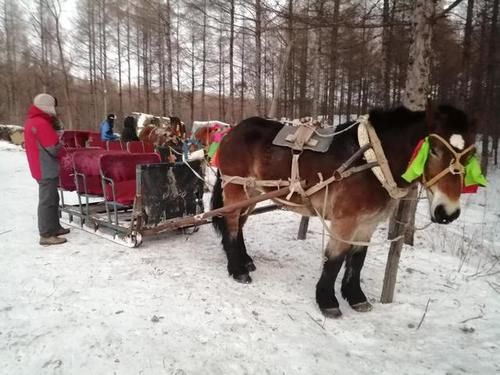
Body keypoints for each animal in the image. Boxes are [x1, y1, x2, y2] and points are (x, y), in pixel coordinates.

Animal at [211, 104, 476, 318]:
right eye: (434, 150)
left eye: (471, 155)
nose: (447, 212)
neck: (371, 161)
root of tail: (232, 131)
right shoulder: (345, 221)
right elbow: (335, 260)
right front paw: (327, 301)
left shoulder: (368, 223)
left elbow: (357, 260)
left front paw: (356, 297)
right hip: (237, 188)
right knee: (232, 224)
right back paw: (237, 269)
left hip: (253, 193)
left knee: (239, 223)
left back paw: (245, 261)